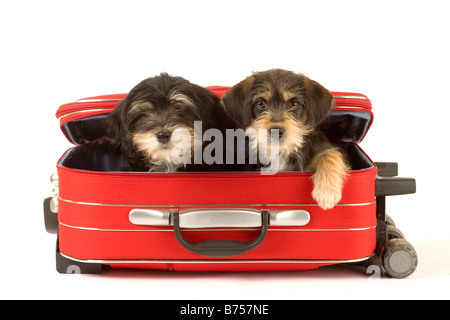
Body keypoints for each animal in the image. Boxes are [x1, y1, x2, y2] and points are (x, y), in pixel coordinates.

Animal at [223, 69, 350, 210]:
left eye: (293, 104)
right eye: (260, 104)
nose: (276, 131)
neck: (281, 152)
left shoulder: (323, 148)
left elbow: (331, 154)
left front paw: (327, 192)